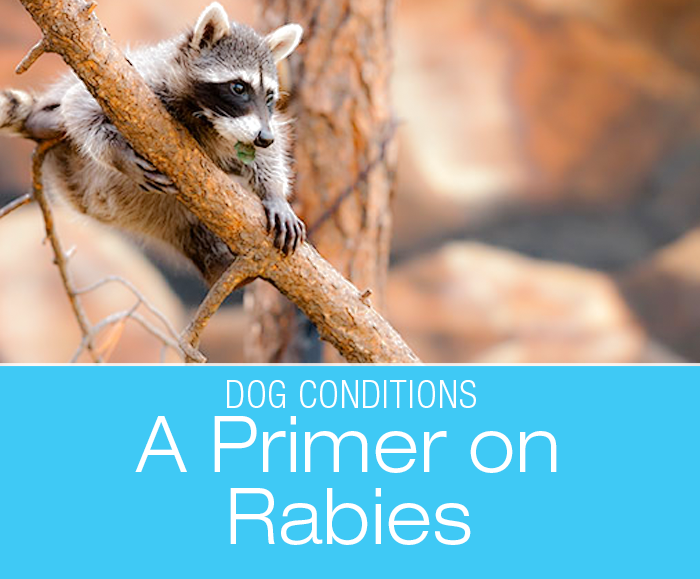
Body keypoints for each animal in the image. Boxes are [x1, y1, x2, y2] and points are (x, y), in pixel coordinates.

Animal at [0, 2, 305, 284]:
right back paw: (44, 119)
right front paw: (118, 154)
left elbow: (268, 154)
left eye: (269, 96)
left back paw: (216, 265)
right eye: (239, 87)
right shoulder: (143, 81)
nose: (264, 137)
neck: (208, 116)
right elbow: (80, 104)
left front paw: (274, 192)